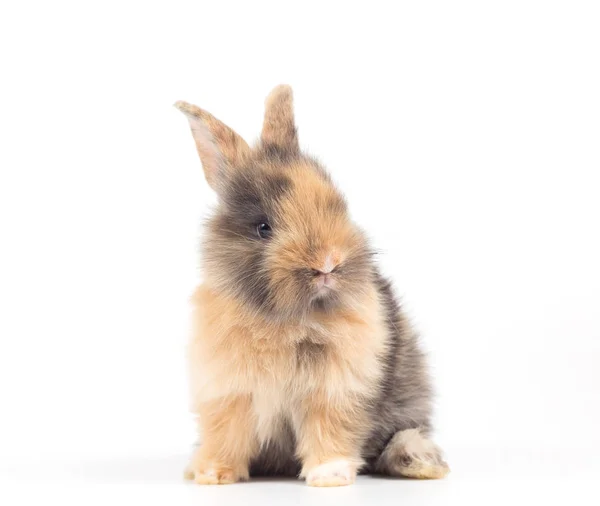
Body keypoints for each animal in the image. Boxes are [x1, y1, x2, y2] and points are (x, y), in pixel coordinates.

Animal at [176, 86, 448, 486]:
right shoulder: (229, 390)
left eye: (336, 204)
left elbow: (328, 427)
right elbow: (226, 432)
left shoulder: (336, 388)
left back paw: (419, 461)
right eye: (263, 227)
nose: (328, 263)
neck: (283, 319)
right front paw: (212, 473)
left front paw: (329, 475)